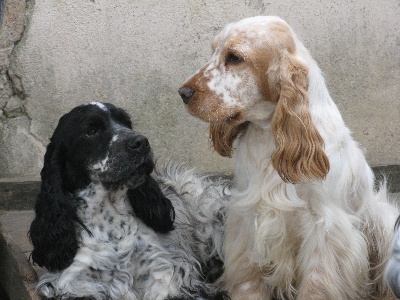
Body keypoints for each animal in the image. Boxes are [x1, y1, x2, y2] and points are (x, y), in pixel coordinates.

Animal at [28, 102, 231, 298]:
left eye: (127, 124)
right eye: (91, 131)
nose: (141, 142)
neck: (110, 219)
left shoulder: (166, 272)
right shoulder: (73, 281)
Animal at [180, 16, 396, 300]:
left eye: (235, 57)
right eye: (213, 51)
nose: (183, 92)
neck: (269, 135)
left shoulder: (325, 228)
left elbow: (317, 284)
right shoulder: (246, 218)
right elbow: (248, 279)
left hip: (384, 221)